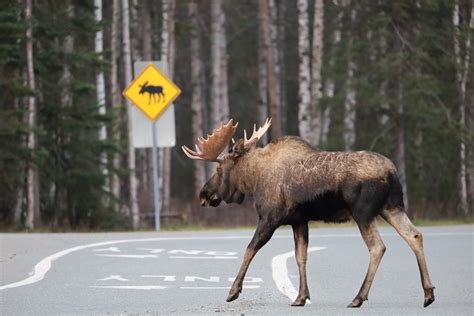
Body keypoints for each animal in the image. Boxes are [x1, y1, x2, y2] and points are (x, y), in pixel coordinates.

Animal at [182, 117, 436, 308]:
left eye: (219, 168)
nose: (204, 195)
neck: (254, 180)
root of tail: (392, 172)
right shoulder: (299, 221)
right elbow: (300, 257)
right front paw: (301, 297)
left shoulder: (270, 218)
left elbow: (249, 249)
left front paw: (233, 291)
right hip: (391, 207)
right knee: (414, 235)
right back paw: (428, 293)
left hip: (363, 213)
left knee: (378, 247)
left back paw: (358, 297)